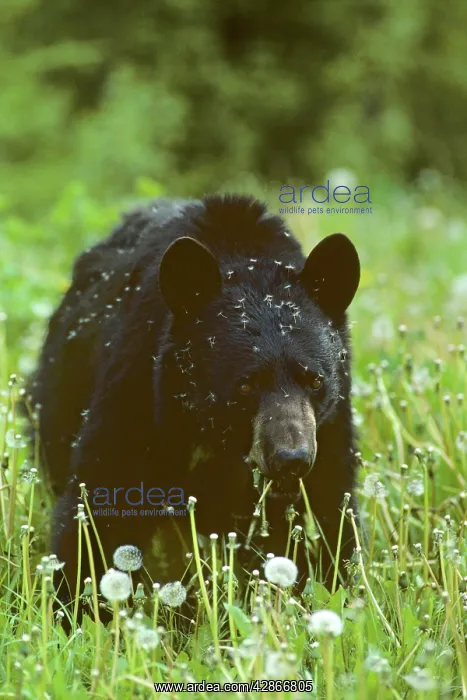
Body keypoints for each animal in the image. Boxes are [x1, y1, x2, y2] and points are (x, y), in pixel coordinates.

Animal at [29, 194, 360, 612]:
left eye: (315, 380)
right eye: (246, 385)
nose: (292, 459)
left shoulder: (330, 425)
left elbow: (332, 511)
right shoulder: (137, 384)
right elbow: (102, 497)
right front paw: (75, 608)